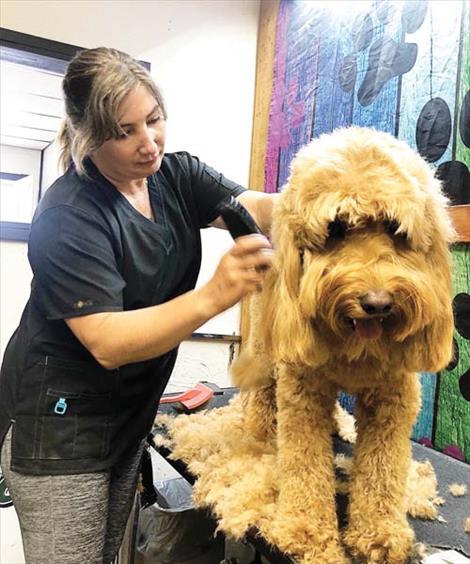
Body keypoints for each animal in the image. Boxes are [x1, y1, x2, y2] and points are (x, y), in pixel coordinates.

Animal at [233, 125, 458, 560]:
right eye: (335, 228)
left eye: (395, 230)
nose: (376, 302)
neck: (356, 347)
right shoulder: (302, 390)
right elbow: (304, 461)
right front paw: (306, 529)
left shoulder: (393, 398)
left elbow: (383, 469)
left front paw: (379, 531)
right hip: (267, 347)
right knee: (262, 392)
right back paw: (261, 428)